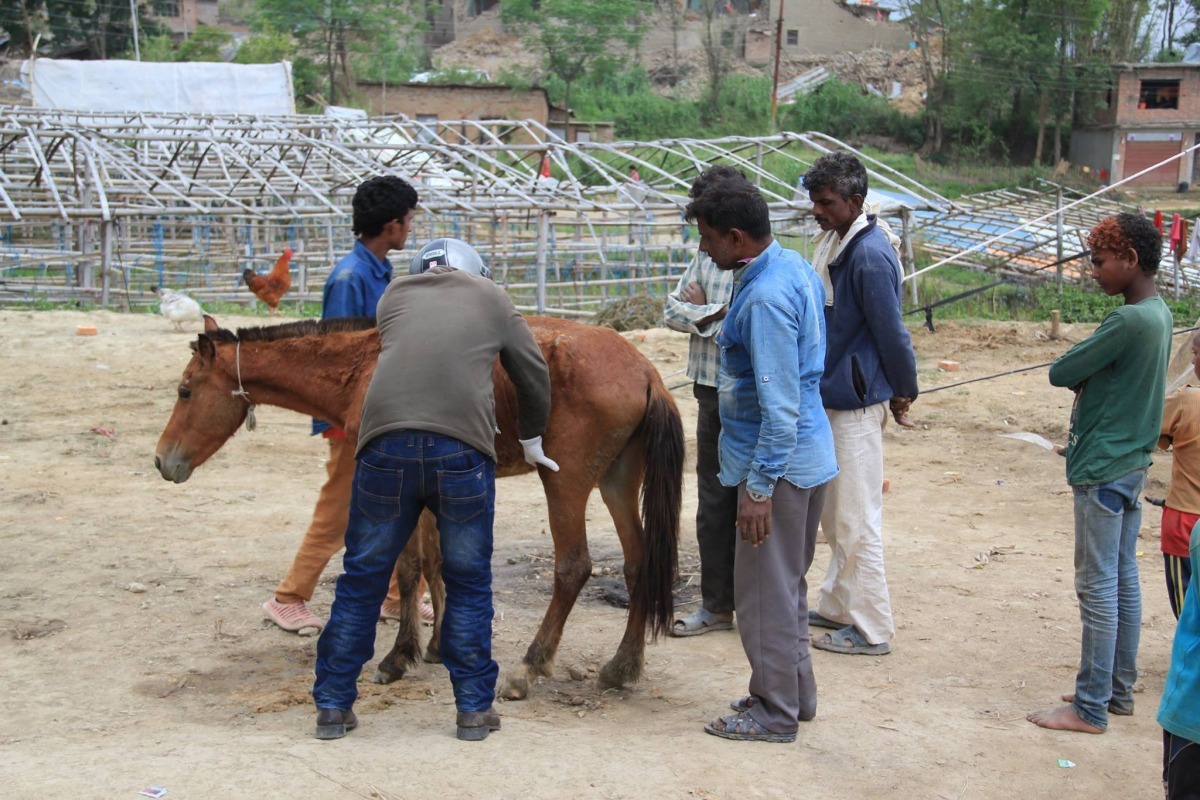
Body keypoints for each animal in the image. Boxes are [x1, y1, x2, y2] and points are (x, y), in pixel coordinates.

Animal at [154, 314, 684, 699]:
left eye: (185, 391)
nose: (162, 460)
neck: (364, 365)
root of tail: (645, 371)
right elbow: (436, 564)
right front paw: (438, 646)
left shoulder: (395, 480)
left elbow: (408, 569)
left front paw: (397, 657)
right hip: (616, 482)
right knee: (638, 565)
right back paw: (621, 667)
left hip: (566, 485)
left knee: (573, 568)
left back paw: (528, 669)